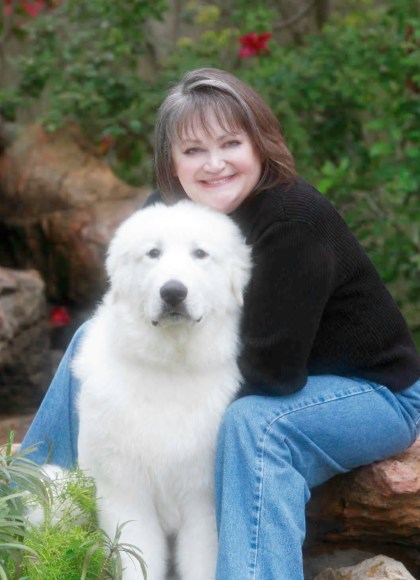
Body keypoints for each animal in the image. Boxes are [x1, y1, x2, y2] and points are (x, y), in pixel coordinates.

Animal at [72, 200, 251, 580]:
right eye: (153, 253)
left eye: (200, 253)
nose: (173, 292)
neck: (171, 367)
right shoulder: (127, 497)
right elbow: (138, 559)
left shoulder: (202, 503)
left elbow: (202, 563)